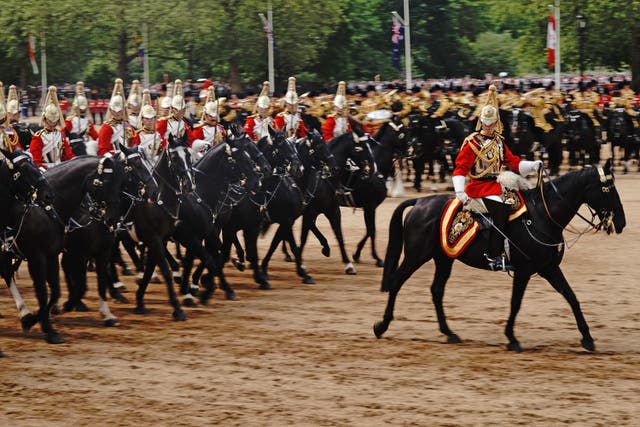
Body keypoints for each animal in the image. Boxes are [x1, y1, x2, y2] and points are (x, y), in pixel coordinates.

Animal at [376, 159, 624, 352]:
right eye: (608, 189)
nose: (621, 223)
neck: (542, 216)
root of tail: (419, 202)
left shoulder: (549, 268)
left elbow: (572, 297)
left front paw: (587, 338)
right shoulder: (524, 270)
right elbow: (516, 303)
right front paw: (511, 338)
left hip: (444, 258)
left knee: (436, 291)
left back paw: (449, 333)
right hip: (416, 256)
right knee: (397, 282)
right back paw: (382, 326)